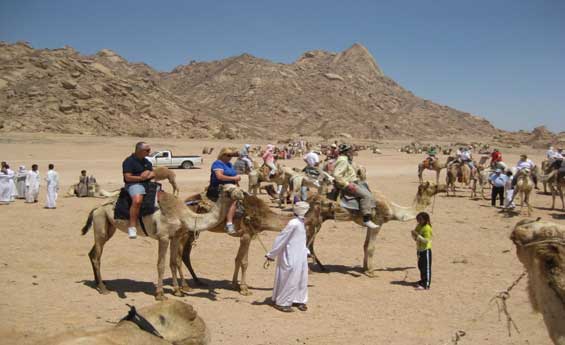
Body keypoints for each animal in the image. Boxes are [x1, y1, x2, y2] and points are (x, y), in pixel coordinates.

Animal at [80, 184, 245, 300]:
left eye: (237, 186)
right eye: (229, 189)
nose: (243, 193)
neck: (182, 214)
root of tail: (96, 207)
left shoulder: (175, 237)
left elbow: (173, 262)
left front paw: (177, 291)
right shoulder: (163, 237)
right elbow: (161, 265)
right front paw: (160, 294)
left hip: (108, 228)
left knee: (92, 253)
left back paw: (99, 283)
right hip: (101, 223)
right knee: (97, 256)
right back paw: (103, 288)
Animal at [304, 181, 446, 276]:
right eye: (434, 185)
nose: (445, 186)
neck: (393, 209)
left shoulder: (370, 224)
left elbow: (365, 245)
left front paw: (364, 268)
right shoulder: (378, 222)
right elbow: (372, 247)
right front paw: (371, 272)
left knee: (310, 244)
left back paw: (322, 268)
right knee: (308, 243)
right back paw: (312, 270)